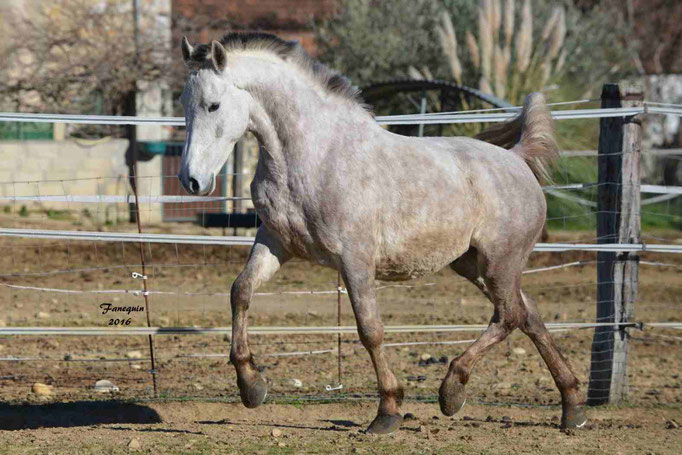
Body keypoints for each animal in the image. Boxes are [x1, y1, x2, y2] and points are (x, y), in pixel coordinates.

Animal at [175, 32, 584, 434]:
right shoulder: (275, 242)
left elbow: (370, 329)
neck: (314, 157)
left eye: (213, 105)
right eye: (183, 104)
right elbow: (240, 292)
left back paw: (452, 391)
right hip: (473, 265)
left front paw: (387, 411)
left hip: (499, 262)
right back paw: (572, 408)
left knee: (510, 316)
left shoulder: (355, 258)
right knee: (527, 314)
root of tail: (517, 159)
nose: (191, 180)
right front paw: (251, 387)